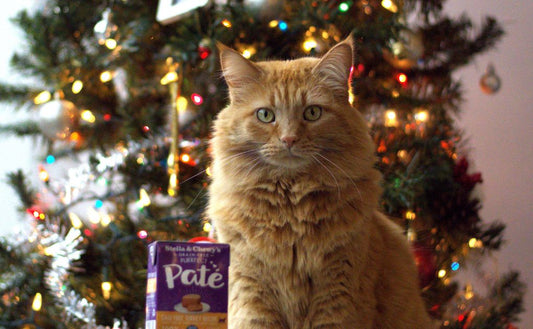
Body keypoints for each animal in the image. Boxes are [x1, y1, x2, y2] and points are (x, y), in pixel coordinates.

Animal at [207, 37, 432, 326]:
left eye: (312, 113)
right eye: (265, 115)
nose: (289, 139)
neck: (289, 213)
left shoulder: (338, 292)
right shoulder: (250, 292)